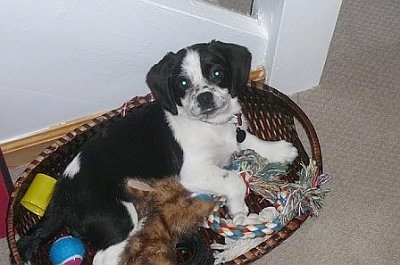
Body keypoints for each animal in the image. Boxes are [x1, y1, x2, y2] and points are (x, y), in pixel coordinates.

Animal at [16, 40, 296, 260]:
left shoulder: (235, 134)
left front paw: (279, 150)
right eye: (183, 83)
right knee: (104, 257)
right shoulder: (192, 172)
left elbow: (250, 139)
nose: (204, 97)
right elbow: (235, 180)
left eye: (217, 73)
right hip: (118, 218)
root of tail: (60, 197)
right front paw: (239, 211)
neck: (211, 126)